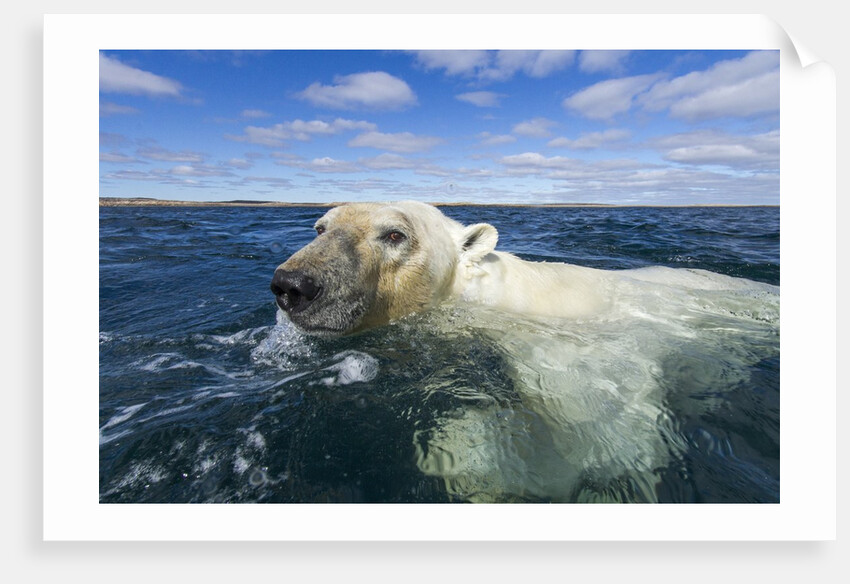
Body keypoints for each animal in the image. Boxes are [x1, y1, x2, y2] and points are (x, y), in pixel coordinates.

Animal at [270, 200, 780, 502]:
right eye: (320, 225)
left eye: (395, 234)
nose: (293, 285)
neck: (502, 300)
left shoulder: (576, 359)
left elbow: (607, 436)